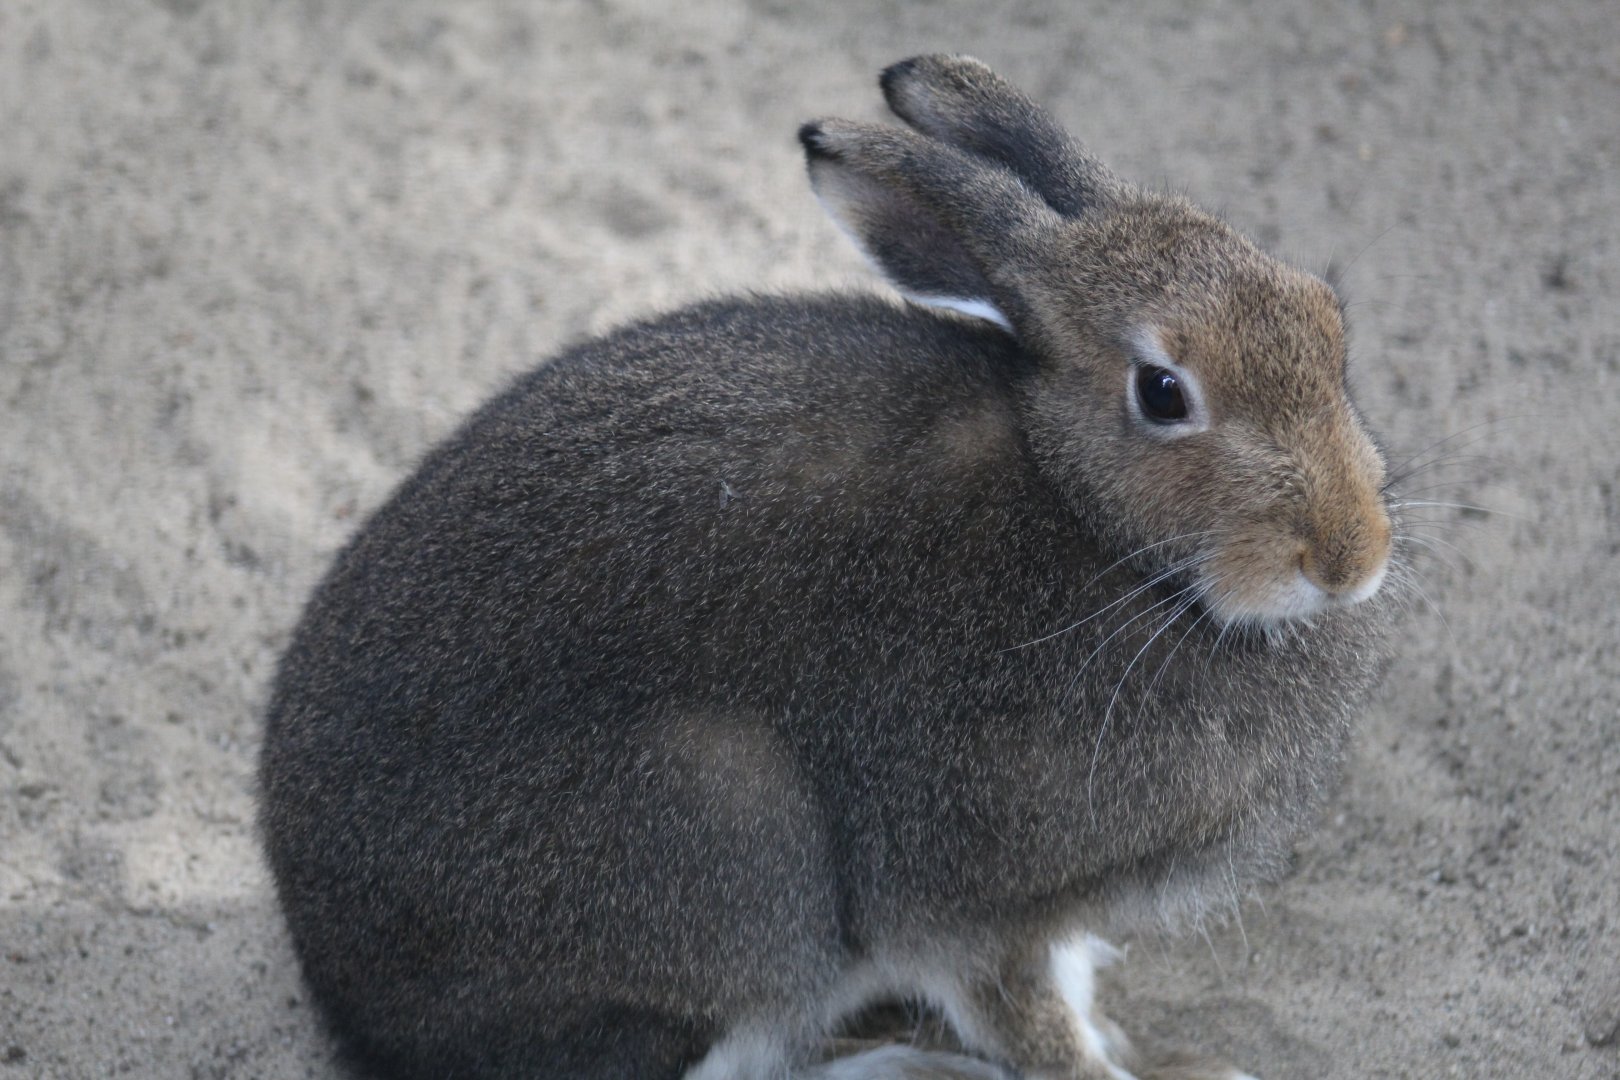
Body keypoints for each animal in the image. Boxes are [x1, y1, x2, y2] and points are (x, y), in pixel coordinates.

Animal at [259, 55, 1399, 1080]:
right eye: (1163, 392)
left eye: (1328, 322)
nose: (1349, 558)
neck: (1091, 519)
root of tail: (353, 1003)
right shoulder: (974, 900)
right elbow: (1031, 1023)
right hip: (729, 852)